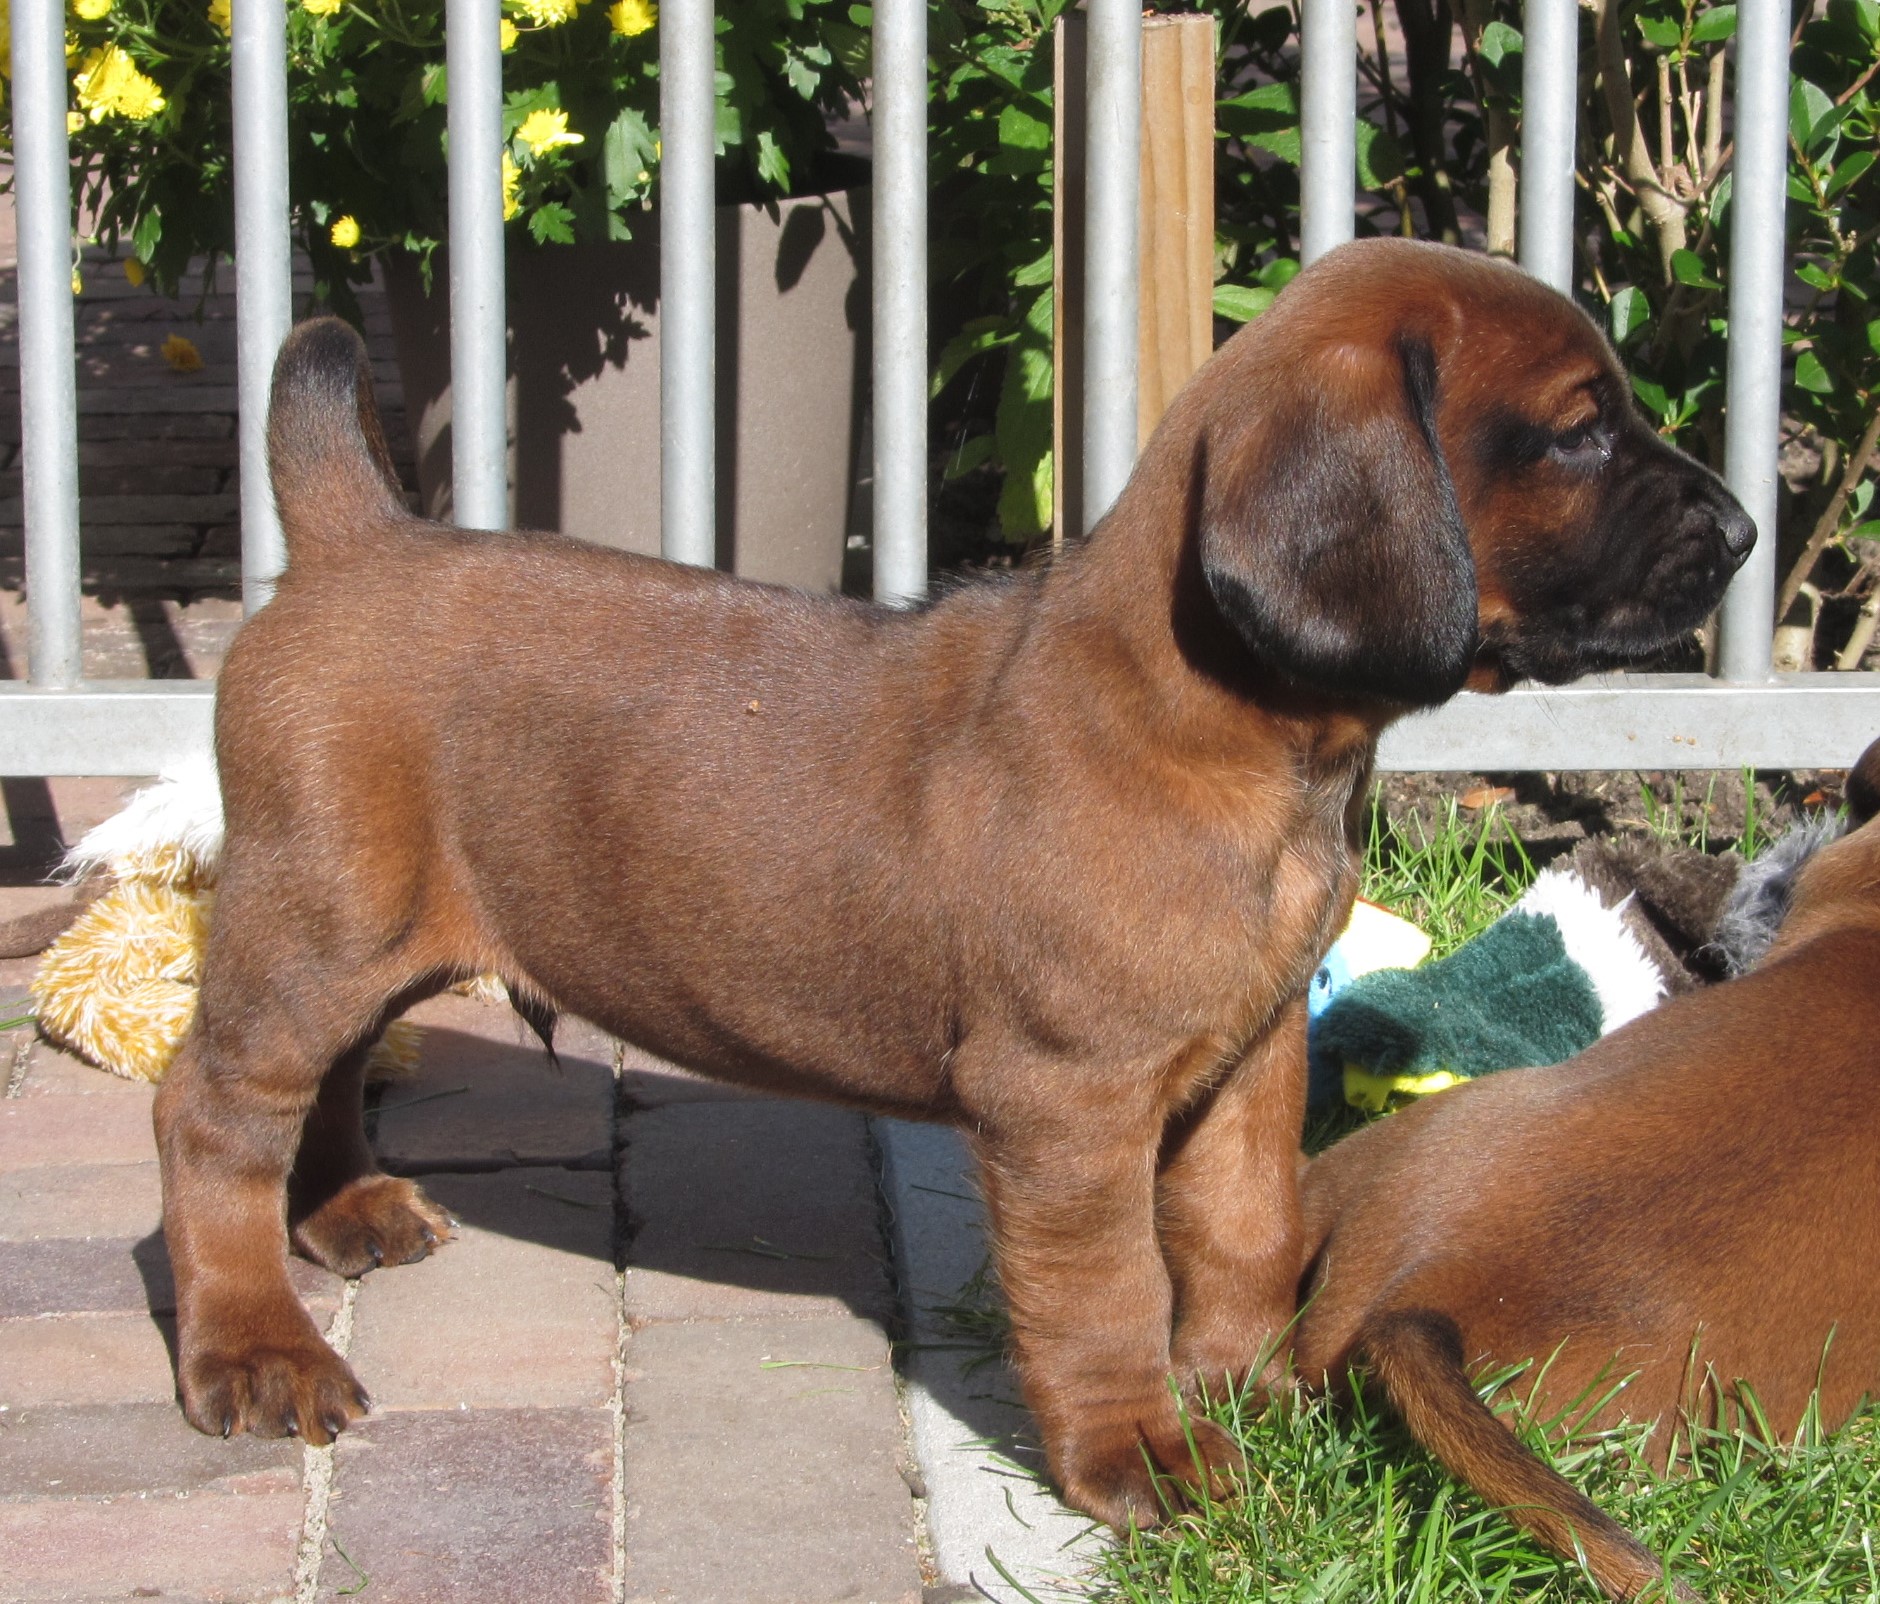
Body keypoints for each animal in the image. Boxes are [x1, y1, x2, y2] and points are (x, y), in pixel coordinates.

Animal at [154, 237, 1752, 1528]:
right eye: (1578, 434)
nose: (1742, 534)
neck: (1230, 733)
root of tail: (353, 541)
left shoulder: (1247, 1060)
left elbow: (1244, 1236)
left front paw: (1248, 1397)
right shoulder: (1069, 1106)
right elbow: (1108, 1292)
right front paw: (1141, 1452)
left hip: (361, 933)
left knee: (331, 1072)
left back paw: (341, 1209)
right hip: (315, 922)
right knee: (213, 1112)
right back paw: (253, 1343)